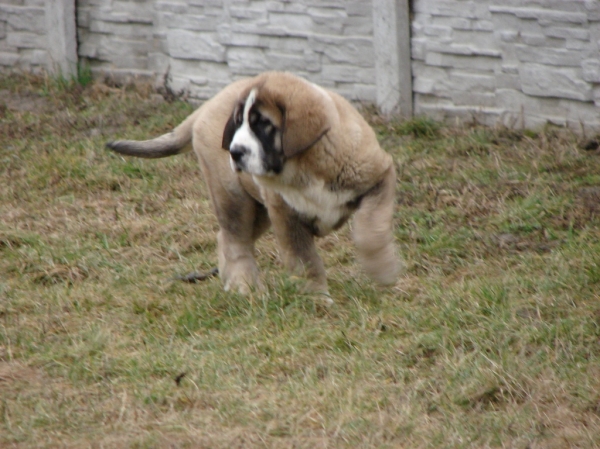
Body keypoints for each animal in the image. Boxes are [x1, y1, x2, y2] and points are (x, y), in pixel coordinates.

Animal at [108, 71, 398, 298]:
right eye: (238, 123)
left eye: (264, 125)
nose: (234, 152)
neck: (305, 166)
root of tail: (206, 105)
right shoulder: (286, 216)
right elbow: (304, 260)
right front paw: (317, 299)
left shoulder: (379, 176)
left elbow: (372, 227)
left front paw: (383, 270)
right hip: (234, 199)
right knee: (235, 240)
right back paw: (244, 286)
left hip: (258, 212)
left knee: (226, 237)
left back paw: (232, 282)